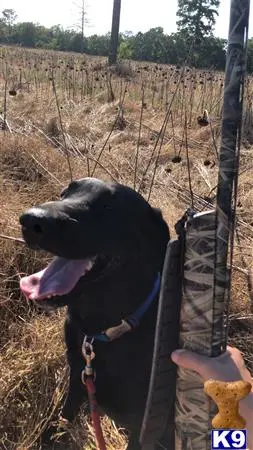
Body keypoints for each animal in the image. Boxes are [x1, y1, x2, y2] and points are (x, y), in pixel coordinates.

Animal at [19, 178, 170, 448]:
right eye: (65, 193)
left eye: (109, 206)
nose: (30, 220)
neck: (102, 329)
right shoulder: (77, 380)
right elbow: (64, 415)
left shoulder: (144, 424)